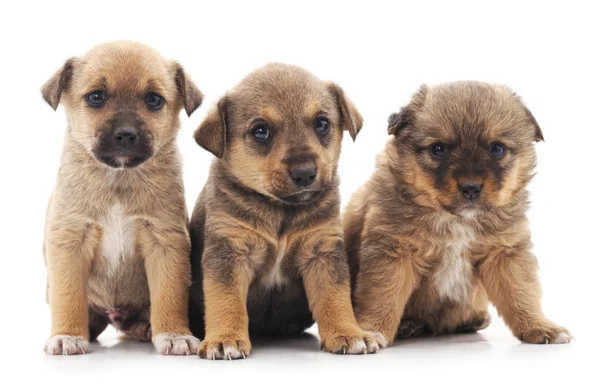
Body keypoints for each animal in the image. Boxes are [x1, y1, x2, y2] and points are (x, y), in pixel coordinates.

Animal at [41, 40, 204, 354]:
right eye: (96, 97)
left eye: (154, 100)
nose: (126, 135)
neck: (118, 179)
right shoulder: (70, 240)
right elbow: (68, 296)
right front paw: (67, 335)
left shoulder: (165, 242)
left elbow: (169, 296)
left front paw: (174, 334)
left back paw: (145, 327)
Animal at [189, 63, 384, 358]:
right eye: (260, 131)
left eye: (322, 123)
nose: (304, 173)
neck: (281, 211)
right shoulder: (229, 251)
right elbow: (226, 301)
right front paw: (225, 338)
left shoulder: (322, 252)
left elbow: (334, 298)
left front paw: (348, 334)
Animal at [342, 81, 572, 346]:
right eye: (438, 149)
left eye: (497, 149)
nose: (470, 188)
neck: (457, 219)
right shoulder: (393, 253)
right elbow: (382, 296)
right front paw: (373, 330)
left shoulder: (506, 254)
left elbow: (521, 294)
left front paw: (539, 326)